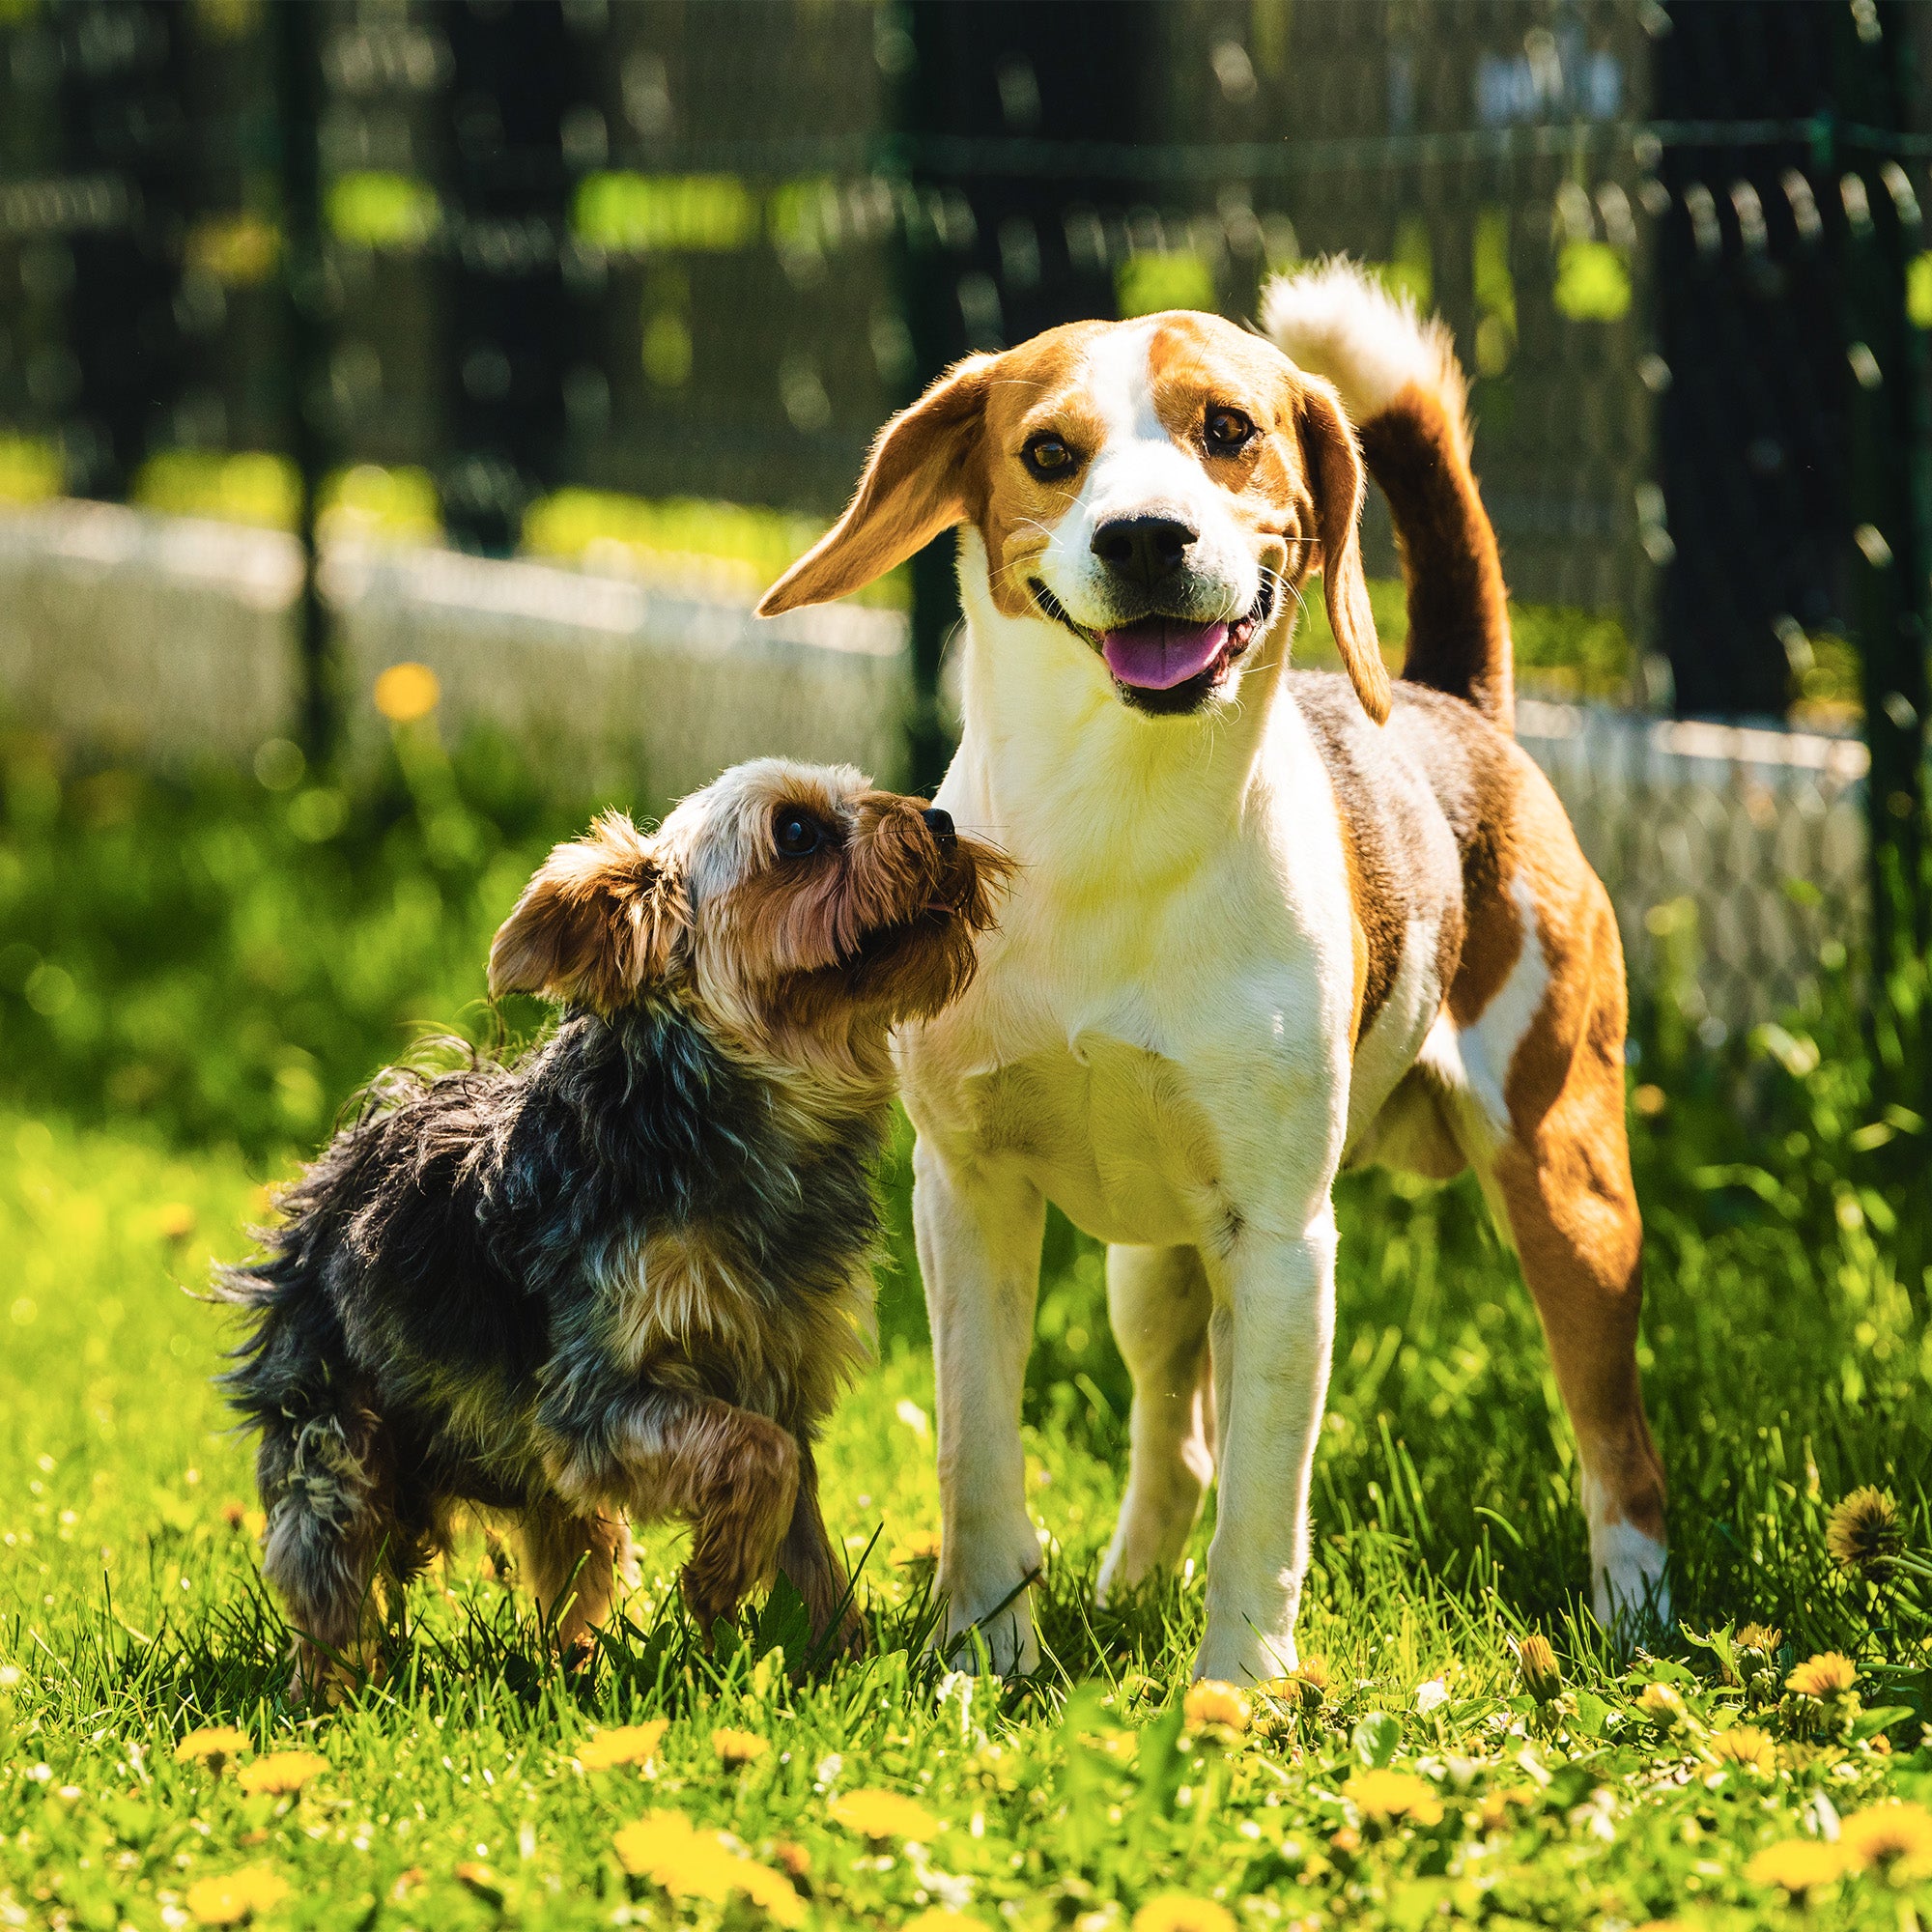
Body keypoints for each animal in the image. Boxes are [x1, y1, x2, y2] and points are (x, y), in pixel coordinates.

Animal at [224, 753, 1005, 1692]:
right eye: (796, 833)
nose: (941, 821)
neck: (746, 1123)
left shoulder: (779, 1373)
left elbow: (805, 1525)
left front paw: (836, 1663)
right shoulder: (594, 1399)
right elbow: (760, 1455)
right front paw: (720, 1578)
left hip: (539, 1485)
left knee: (574, 1571)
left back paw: (576, 1672)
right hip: (334, 1430)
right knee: (331, 1572)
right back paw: (330, 1696)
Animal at [761, 261, 1669, 1692]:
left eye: (1229, 429)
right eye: (1050, 452)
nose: (1144, 537)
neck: (1118, 826)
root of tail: (1452, 702)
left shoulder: (1285, 1242)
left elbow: (1266, 1498)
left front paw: (1238, 1690)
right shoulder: (966, 1199)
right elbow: (977, 1454)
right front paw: (981, 1656)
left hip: (1568, 1195)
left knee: (1613, 1443)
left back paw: (1633, 1621)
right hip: (1153, 1268)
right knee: (1178, 1443)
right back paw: (1127, 1588)